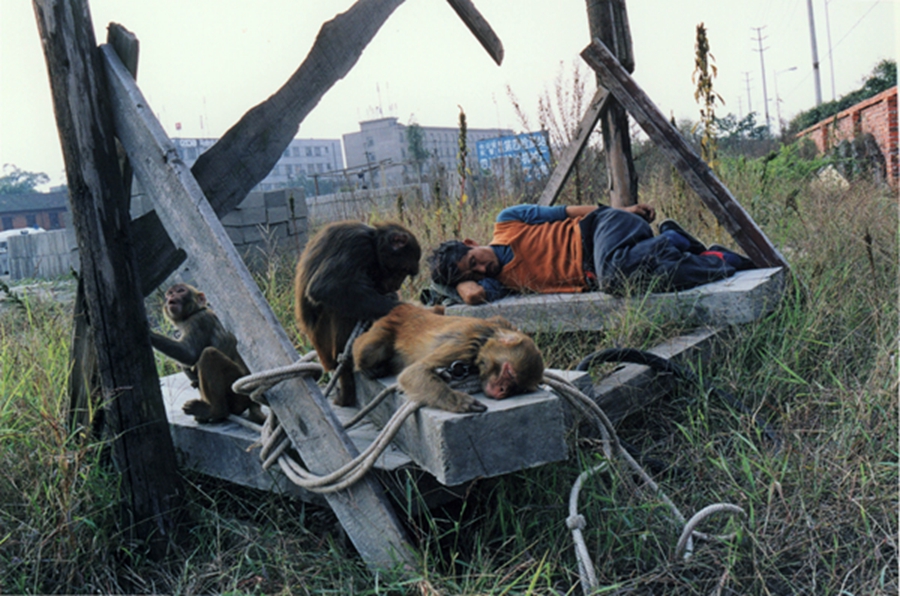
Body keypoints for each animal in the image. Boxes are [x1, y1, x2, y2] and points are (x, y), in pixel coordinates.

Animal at [150, 283, 265, 424]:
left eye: (180, 291)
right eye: (170, 293)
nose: (171, 296)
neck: (195, 311)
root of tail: (252, 402)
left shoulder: (198, 321)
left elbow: (189, 354)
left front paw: (150, 334)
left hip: (237, 391)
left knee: (208, 354)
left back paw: (215, 410)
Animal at [294, 220, 421, 407]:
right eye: (403, 270)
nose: (397, 285)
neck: (373, 242)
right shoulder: (356, 245)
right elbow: (326, 287)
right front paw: (403, 308)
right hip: (325, 343)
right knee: (339, 309)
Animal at [352, 303, 545, 413]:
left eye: (519, 388)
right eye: (509, 374)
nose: (504, 390)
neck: (486, 337)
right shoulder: (464, 344)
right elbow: (413, 372)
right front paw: (458, 401)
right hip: (386, 325)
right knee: (367, 351)